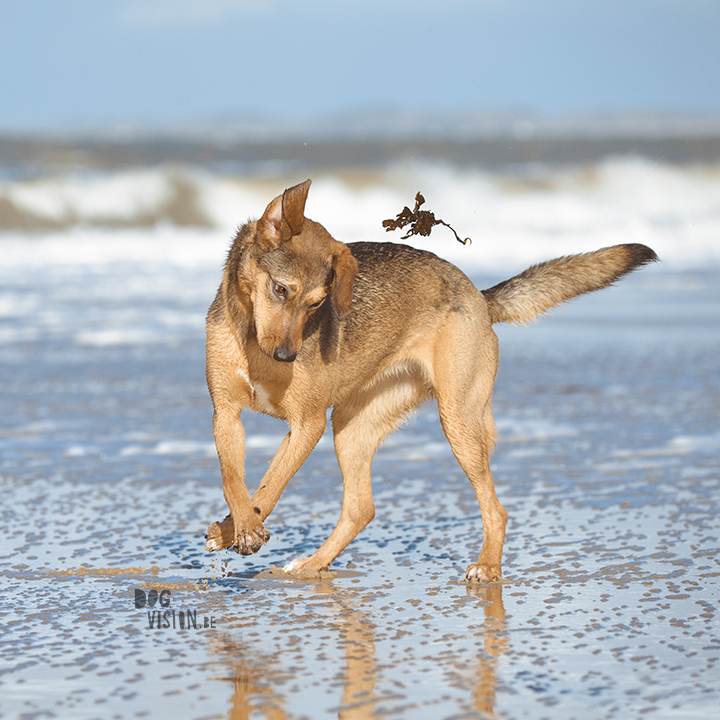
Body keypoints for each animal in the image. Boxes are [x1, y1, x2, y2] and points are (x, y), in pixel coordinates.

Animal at [204, 179, 660, 580]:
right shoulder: (226, 413)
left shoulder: (307, 423)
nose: (287, 356)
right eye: (280, 290)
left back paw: (487, 567)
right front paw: (234, 526)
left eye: (317, 305)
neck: (252, 340)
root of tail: (479, 296)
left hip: (457, 418)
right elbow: (234, 478)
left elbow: (271, 484)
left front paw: (245, 529)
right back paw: (312, 564)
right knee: (360, 509)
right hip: (352, 427)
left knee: (495, 509)